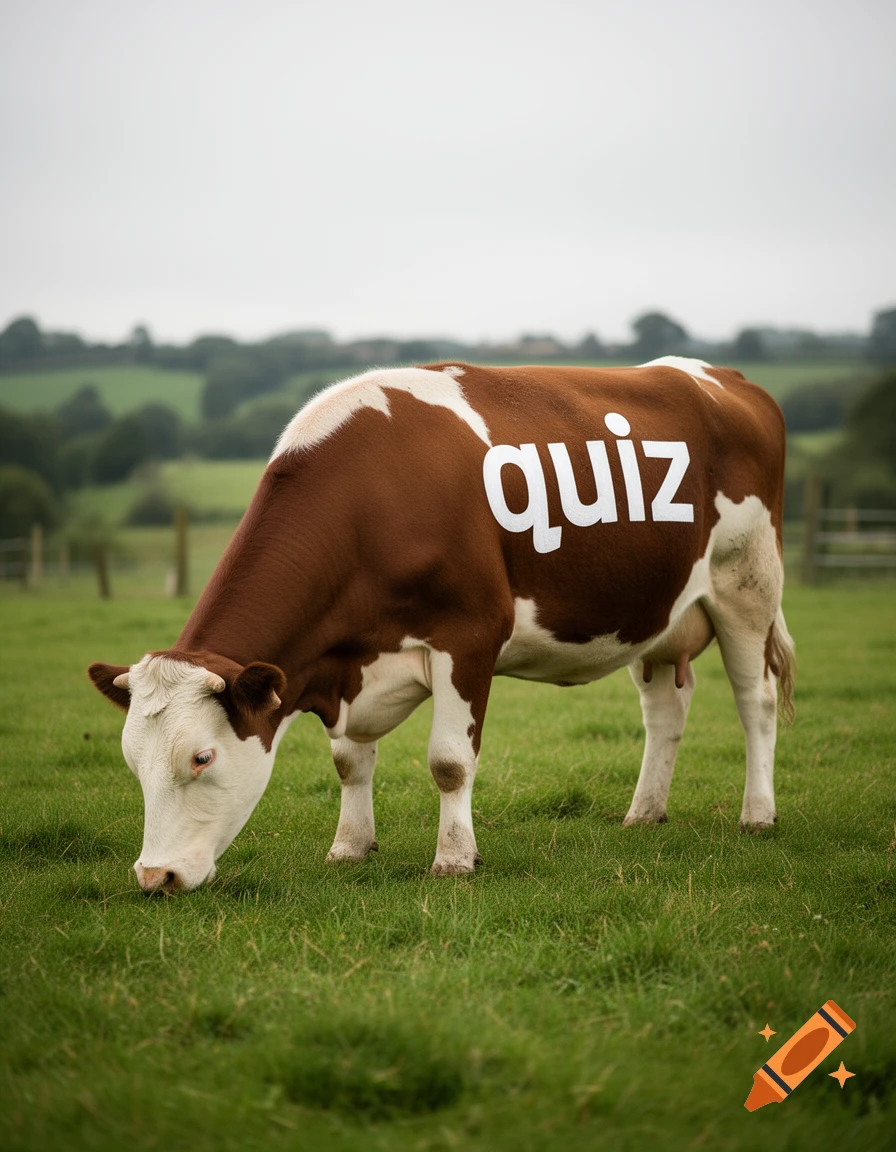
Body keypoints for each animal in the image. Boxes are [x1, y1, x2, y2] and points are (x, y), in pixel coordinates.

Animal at [88, 357, 794, 893]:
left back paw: (758, 814)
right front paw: (350, 846)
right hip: (657, 613)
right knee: (666, 711)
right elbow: (349, 762)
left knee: (755, 700)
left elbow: (450, 762)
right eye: (131, 760)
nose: (154, 878)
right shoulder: (351, 663)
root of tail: (720, 376)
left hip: (746, 583)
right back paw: (645, 813)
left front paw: (454, 859)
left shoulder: (470, 635)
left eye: (202, 757)